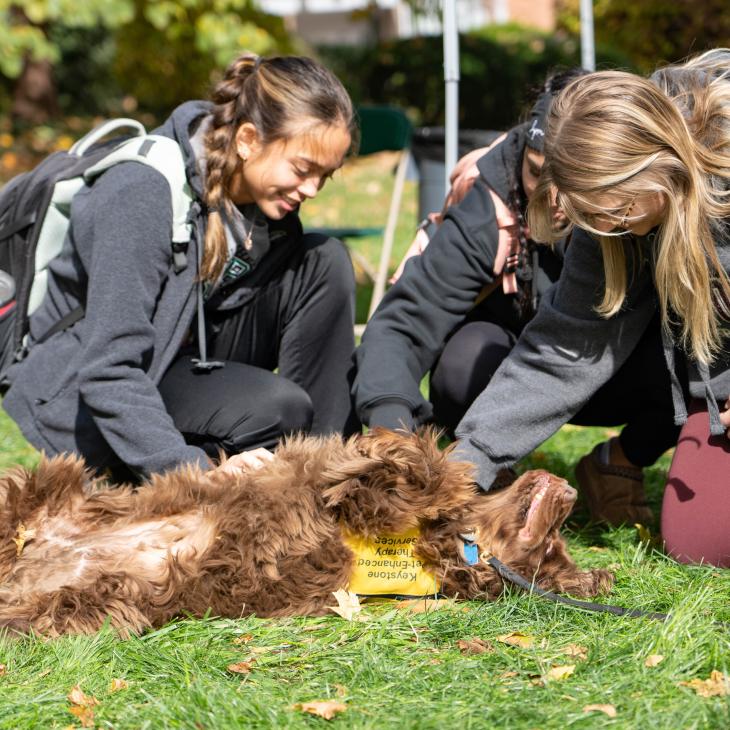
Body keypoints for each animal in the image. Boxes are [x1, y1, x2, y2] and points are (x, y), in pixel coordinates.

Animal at [0, 430, 608, 636]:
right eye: (556, 543)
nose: (568, 491)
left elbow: (408, 476)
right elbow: (407, 470)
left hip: (91, 605)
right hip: (51, 484)